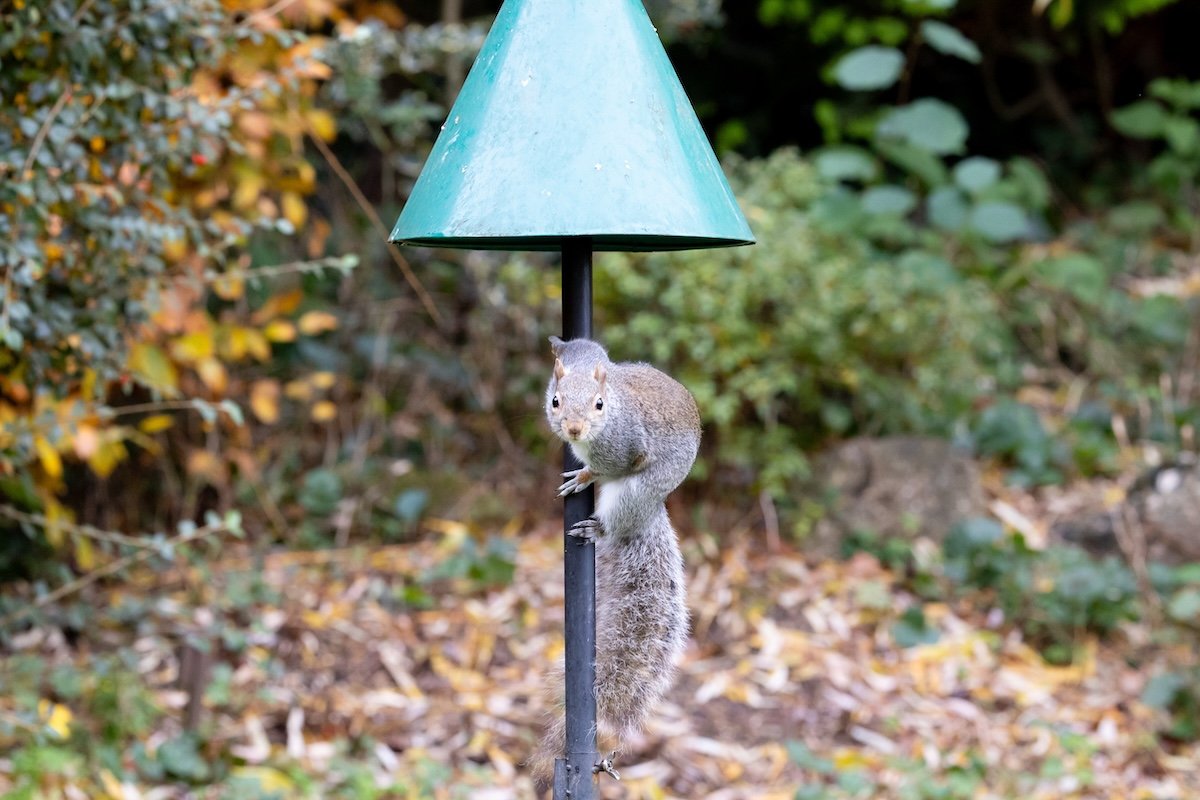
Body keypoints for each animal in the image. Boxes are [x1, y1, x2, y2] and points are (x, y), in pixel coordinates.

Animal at [530, 335, 700, 786]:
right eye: (554, 401)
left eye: (599, 405)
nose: (573, 430)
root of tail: (654, 504)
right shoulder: (588, 355)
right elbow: (583, 347)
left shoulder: (624, 448)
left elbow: (616, 462)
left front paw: (585, 475)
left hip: (636, 493)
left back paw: (598, 526)